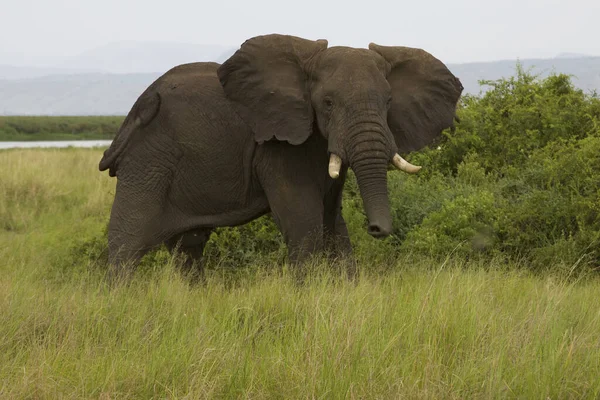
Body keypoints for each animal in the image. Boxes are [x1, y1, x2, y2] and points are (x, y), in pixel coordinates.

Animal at [99, 33, 464, 278]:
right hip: (149, 159)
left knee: (187, 248)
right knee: (127, 243)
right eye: (327, 103)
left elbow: (333, 222)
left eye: (388, 102)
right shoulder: (278, 146)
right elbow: (304, 221)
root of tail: (138, 106)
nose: (377, 229)